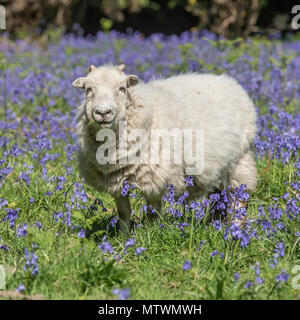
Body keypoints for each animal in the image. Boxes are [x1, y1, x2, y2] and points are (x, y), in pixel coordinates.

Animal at [73, 63, 258, 234]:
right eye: (88, 89)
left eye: (122, 88)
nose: (103, 113)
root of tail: (228, 81)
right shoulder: (118, 182)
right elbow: (123, 213)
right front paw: (123, 237)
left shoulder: (154, 179)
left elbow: (152, 213)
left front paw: (151, 234)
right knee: (219, 197)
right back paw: (217, 222)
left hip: (240, 159)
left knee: (239, 196)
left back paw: (236, 228)